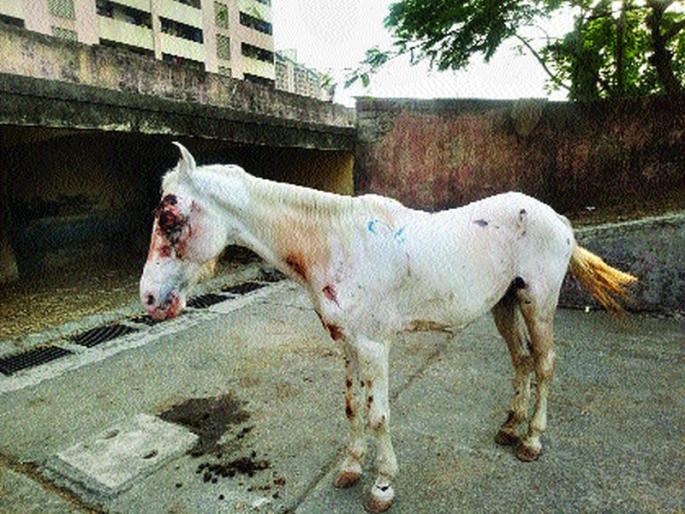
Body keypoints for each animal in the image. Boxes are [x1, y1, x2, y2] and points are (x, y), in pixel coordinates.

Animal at [139, 143, 636, 513]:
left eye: (169, 217)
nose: (148, 299)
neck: (337, 241)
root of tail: (555, 218)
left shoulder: (375, 345)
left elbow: (378, 413)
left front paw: (382, 486)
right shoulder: (347, 343)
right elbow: (352, 407)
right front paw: (350, 468)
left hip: (539, 303)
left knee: (545, 363)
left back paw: (531, 440)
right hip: (505, 305)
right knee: (522, 360)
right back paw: (511, 428)